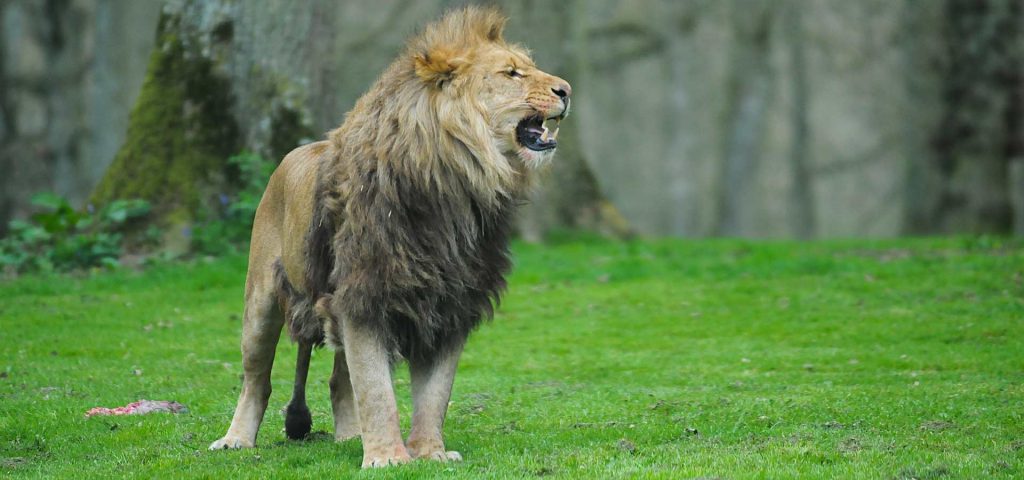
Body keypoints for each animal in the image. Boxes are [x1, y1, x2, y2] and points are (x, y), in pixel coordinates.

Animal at [208, 5, 573, 466]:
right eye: (511, 73)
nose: (567, 90)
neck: (453, 187)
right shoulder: (363, 294)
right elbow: (376, 390)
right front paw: (387, 458)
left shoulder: (451, 302)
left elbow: (434, 394)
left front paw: (430, 453)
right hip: (260, 303)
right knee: (256, 380)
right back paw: (236, 439)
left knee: (338, 380)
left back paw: (349, 437)